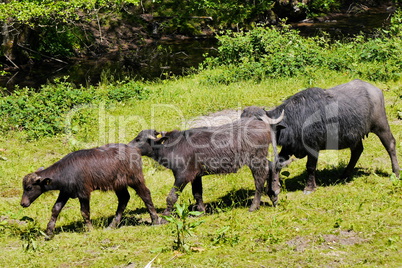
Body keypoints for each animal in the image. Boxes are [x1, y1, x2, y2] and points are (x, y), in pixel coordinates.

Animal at [20, 143, 159, 238]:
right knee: (124, 198)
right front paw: (49, 233)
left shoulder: (84, 193)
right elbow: (55, 209)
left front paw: (90, 229)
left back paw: (155, 220)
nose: (23, 203)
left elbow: (84, 212)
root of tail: (135, 150)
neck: (66, 170)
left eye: (29, 188)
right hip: (119, 184)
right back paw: (112, 225)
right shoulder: (65, 192)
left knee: (145, 195)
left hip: (135, 179)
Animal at [129, 113, 282, 216]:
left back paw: (254, 205)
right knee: (272, 166)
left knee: (260, 179)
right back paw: (273, 194)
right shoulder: (196, 176)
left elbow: (172, 196)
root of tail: (264, 126)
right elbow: (197, 193)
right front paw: (201, 211)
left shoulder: (182, 176)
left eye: (138, 139)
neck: (172, 146)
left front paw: (165, 215)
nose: (128, 146)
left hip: (255, 160)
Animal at [242, 78, 398, 194]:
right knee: (357, 151)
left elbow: (310, 167)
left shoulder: (313, 147)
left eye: (256, 124)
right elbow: (277, 164)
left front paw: (309, 187)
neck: (294, 119)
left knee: (390, 144)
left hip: (381, 125)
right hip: (354, 135)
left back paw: (396, 173)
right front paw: (274, 188)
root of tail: (376, 90)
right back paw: (345, 174)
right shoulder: (289, 147)